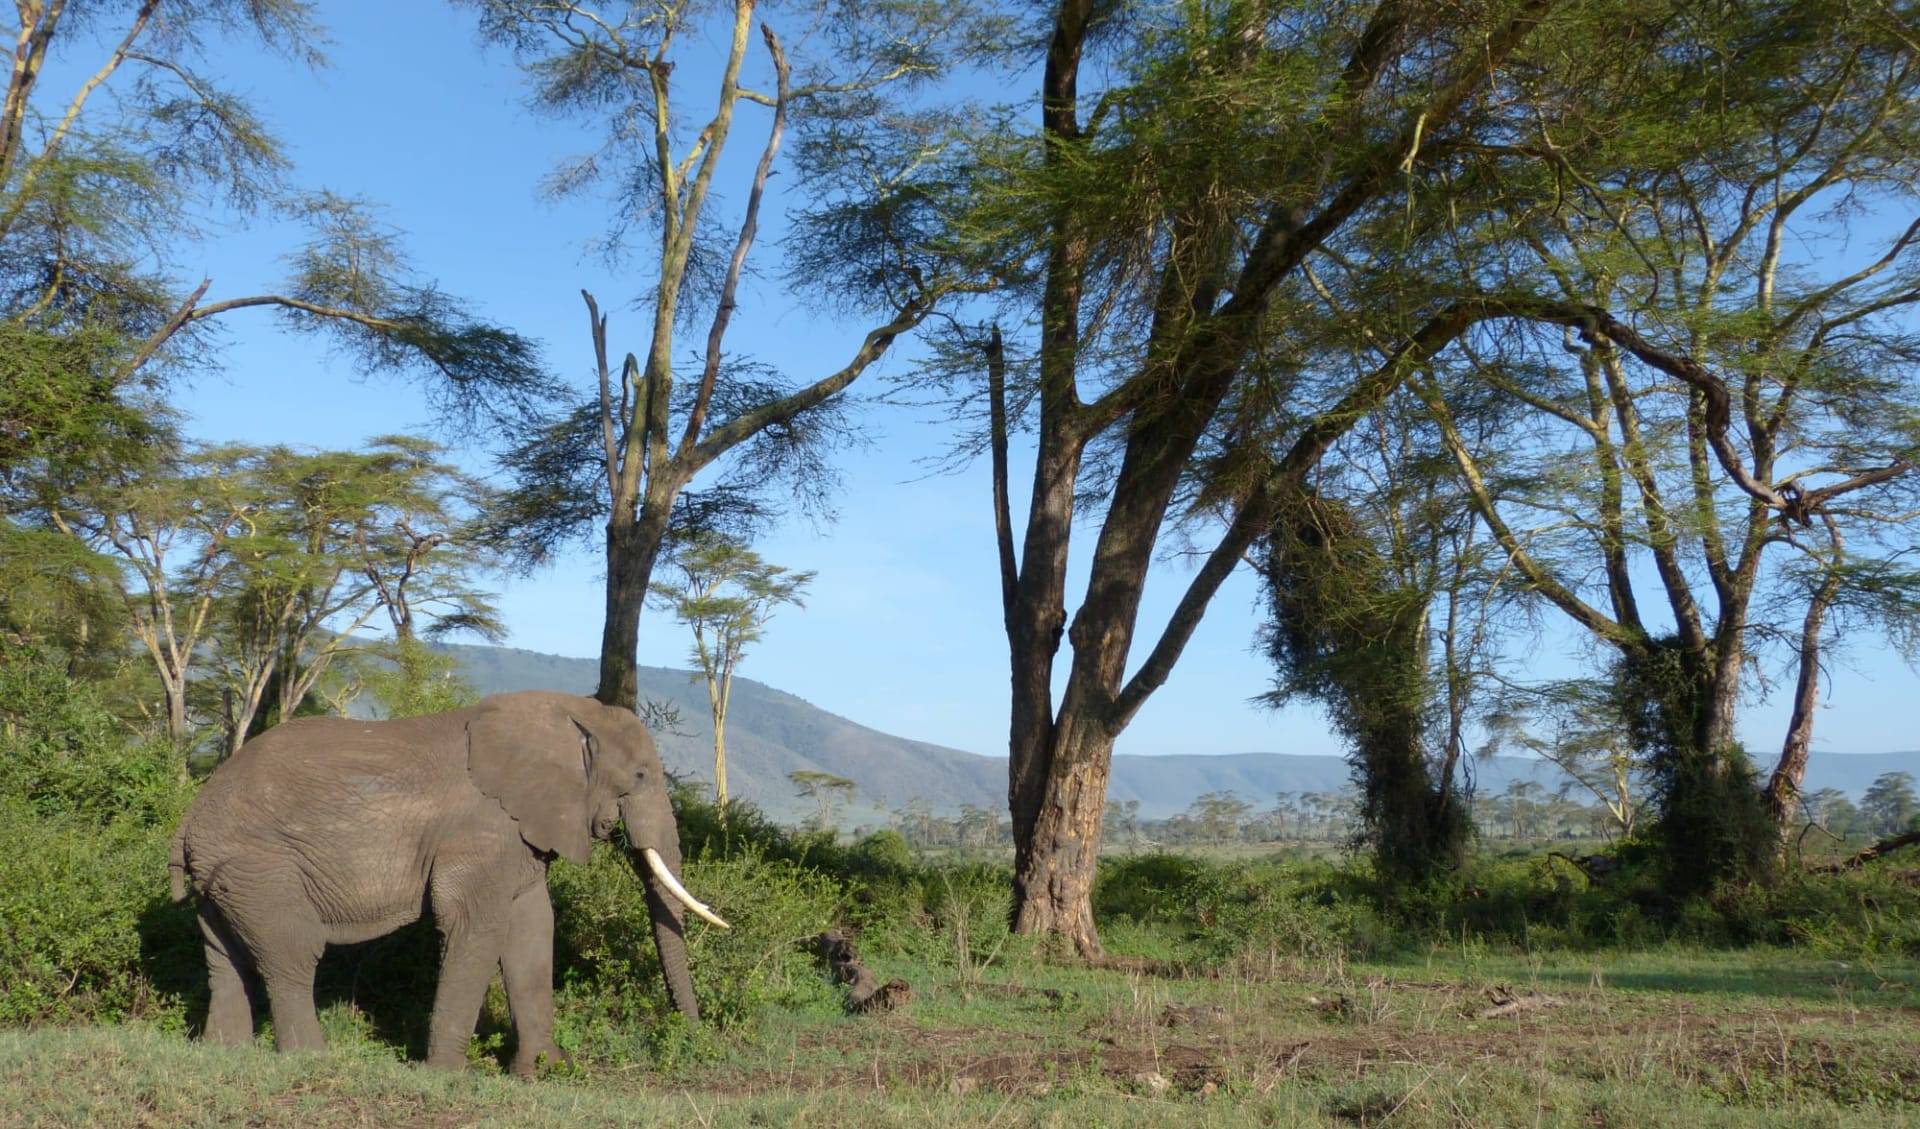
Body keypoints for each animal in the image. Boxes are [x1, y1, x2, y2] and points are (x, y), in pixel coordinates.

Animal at [168, 690, 728, 1073]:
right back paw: (313, 1060)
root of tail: (188, 820)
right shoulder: (480, 833)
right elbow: (474, 927)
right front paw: (446, 1075)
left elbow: (532, 927)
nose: (692, 1035)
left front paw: (544, 1071)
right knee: (293, 952)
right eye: (639, 777)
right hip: (261, 865)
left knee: (224, 956)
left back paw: (224, 1054)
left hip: (227, 877)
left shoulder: (518, 836)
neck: (564, 712)